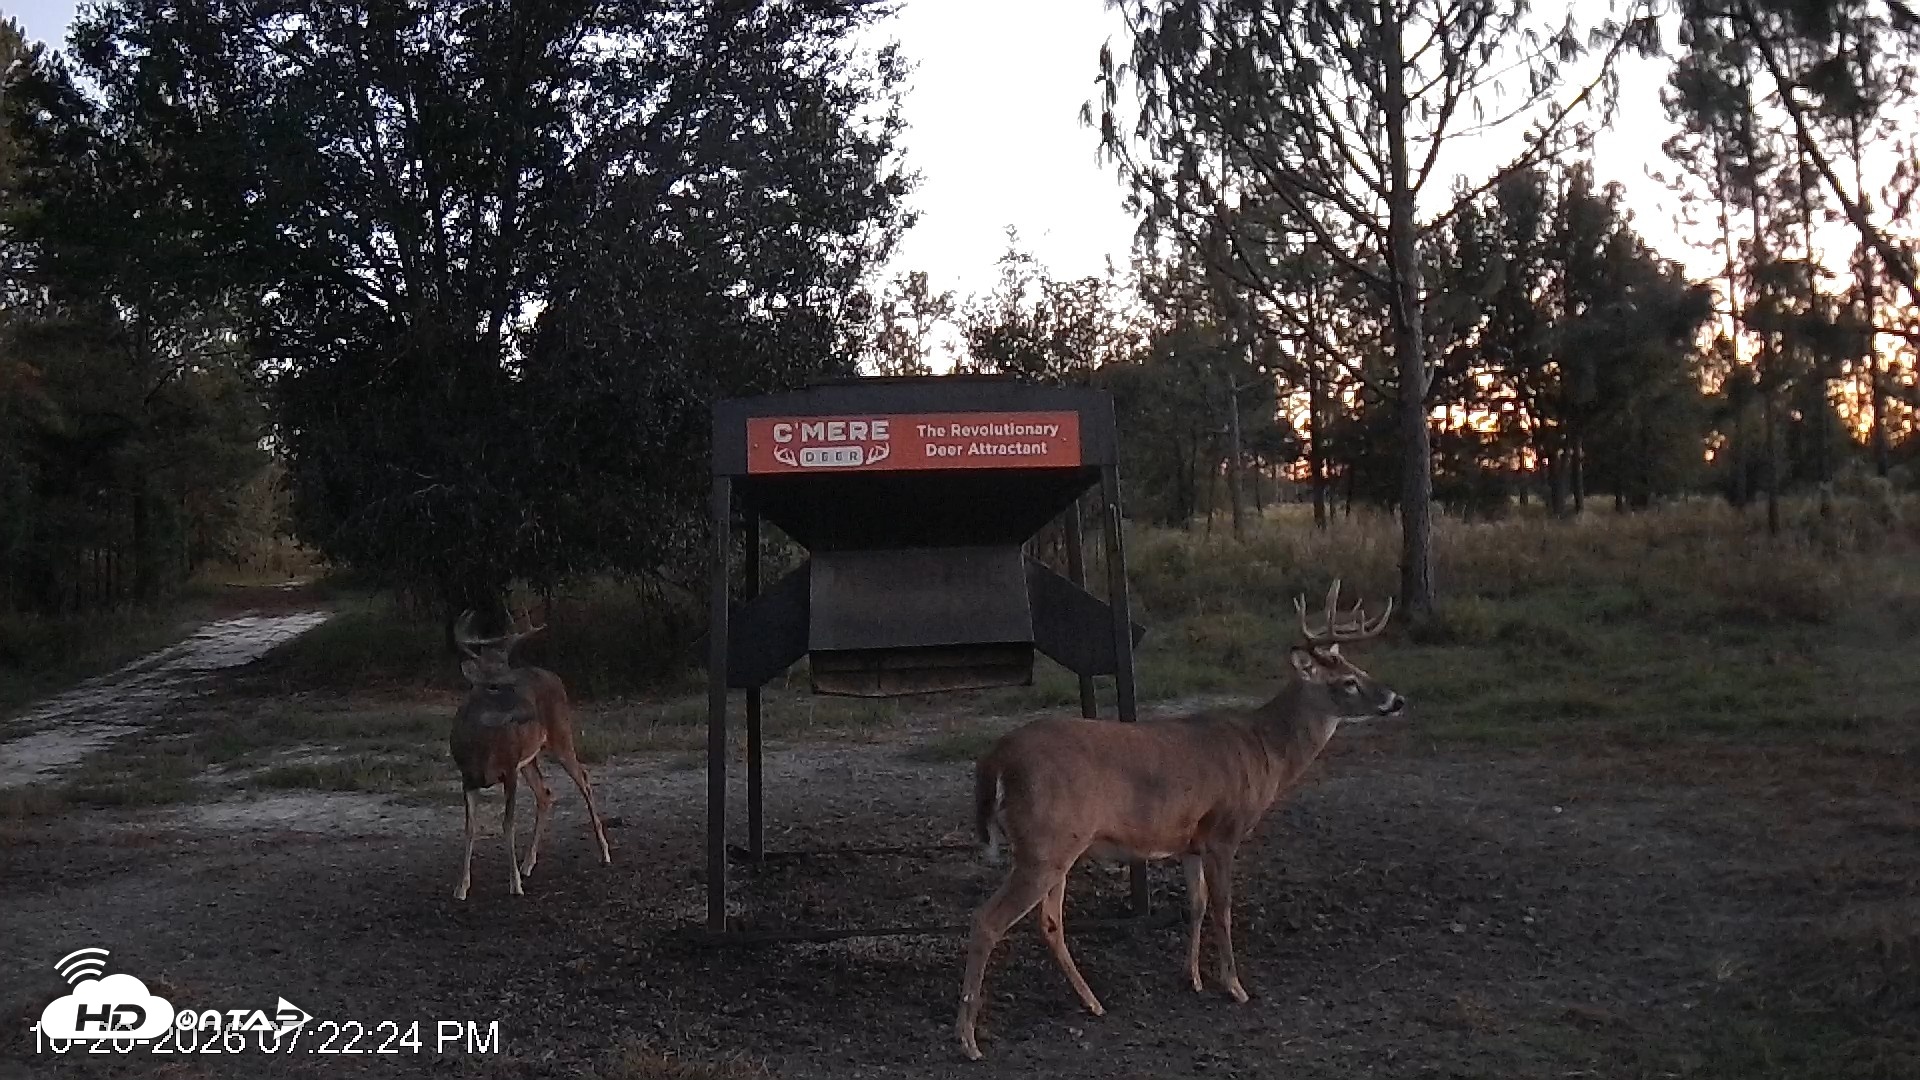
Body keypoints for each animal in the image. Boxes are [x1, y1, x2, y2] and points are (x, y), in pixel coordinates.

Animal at [449, 608, 611, 901]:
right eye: (493, 685)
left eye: (512, 678)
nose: (529, 713)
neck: (480, 748)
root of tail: (555, 677)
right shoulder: (466, 776)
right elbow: (470, 827)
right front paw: (461, 887)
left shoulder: (509, 768)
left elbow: (508, 823)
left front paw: (514, 885)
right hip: (530, 758)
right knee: (545, 793)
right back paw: (528, 864)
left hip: (560, 735)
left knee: (582, 777)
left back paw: (604, 853)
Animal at [954, 580, 1404, 1060]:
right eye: (1348, 682)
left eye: (1359, 668)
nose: (1397, 700)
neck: (1265, 751)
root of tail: (995, 757)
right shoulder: (1225, 829)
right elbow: (1224, 906)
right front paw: (1234, 986)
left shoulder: (1191, 838)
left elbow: (1197, 903)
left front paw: (1192, 978)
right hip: (1043, 843)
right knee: (987, 920)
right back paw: (968, 1038)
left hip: (1058, 846)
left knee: (1050, 922)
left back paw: (1093, 1003)